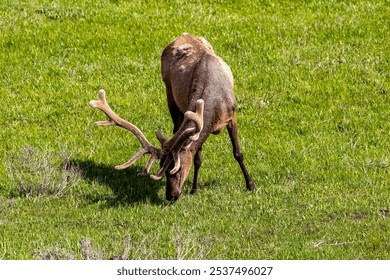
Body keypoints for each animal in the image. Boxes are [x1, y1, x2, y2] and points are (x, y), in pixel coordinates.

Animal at [91, 32, 256, 200]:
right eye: (161, 166)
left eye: (177, 168)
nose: (171, 195)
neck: (215, 105)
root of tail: (184, 35)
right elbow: (198, 158)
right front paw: (194, 189)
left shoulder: (231, 115)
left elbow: (238, 153)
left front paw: (251, 185)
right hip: (169, 90)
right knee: (175, 127)